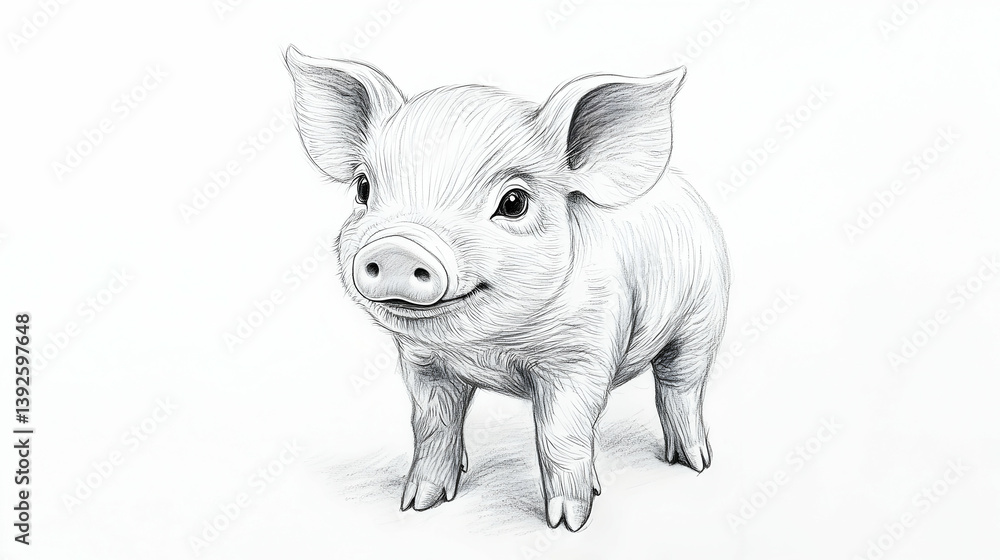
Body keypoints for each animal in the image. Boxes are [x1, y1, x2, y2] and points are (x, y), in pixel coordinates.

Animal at [285, 46, 730, 531]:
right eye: (363, 188)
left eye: (514, 202)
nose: (398, 248)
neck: (492, 346)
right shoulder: (422, 361)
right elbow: (432, 423)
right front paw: (417, 504)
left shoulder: (583, 354)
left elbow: (561, 433)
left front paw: (568, 523)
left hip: (703, 316)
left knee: (680, 385)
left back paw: (693, 463)